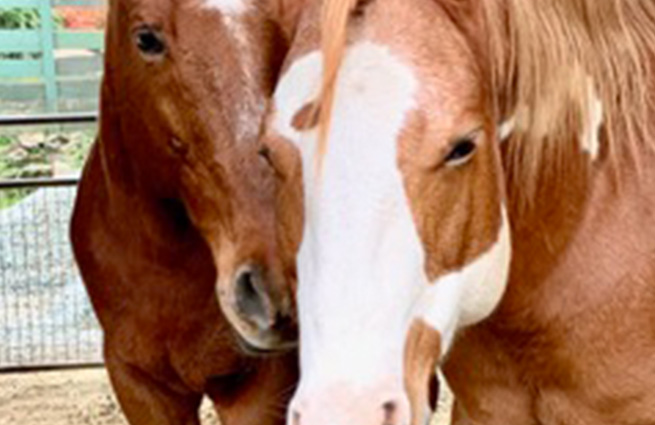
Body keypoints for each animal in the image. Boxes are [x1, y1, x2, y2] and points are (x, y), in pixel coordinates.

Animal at [70, 0, 306, 424]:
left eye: (282, 30)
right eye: (146, 39)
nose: (277, 284)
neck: (168, 264)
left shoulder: (260, 387)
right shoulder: (139, 383)